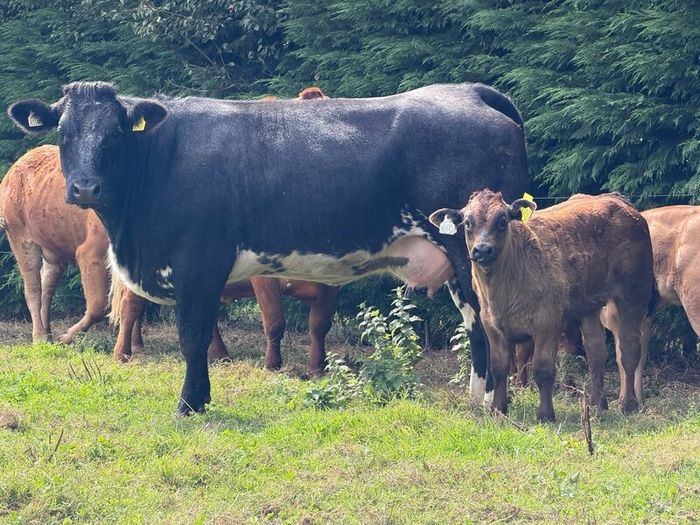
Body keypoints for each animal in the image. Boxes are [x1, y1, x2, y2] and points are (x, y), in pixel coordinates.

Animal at [0, 145, 109, 343]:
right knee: (33, 289)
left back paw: (48, 334)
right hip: (21, 239)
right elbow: (98, 305)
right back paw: (40, 337)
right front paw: (66, 336)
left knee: (46, 288)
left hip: (54, 252)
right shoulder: (90, 253)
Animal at [430, 190, 654, 421]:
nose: (482, 249)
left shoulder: (547, 322)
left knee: (628, 349)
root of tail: (617, 199)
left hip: (633, 294)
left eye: (502, 221)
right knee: (596, 351)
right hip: (589, 306)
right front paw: (498, 409)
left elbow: (543, 369)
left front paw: (545, 414)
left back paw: (628, 404)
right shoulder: (490, 324)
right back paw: (597, 403)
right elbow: (499, 368)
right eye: (467, 222)